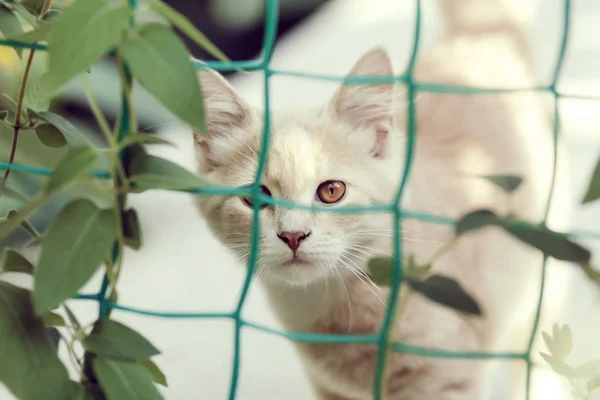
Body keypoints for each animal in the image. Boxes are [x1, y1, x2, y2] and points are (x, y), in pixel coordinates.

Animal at [191, 0, 568, 398]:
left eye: (331, 191)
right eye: (256, 197)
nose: (293, 236)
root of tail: (480, 37)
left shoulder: (447, 377)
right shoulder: (328, 386)